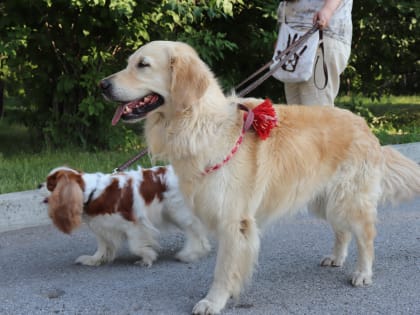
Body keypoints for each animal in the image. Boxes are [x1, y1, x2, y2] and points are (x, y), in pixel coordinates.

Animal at [41, 165, 210, 266]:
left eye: (50, 184)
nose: (38, 184)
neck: (92, 192)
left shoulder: (134, 224)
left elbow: (135, 246)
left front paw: (147, 256)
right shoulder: (101, 228)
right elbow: (102, 246)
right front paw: (94, 259)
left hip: (177, 211)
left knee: (194, 230)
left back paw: (190, 253)